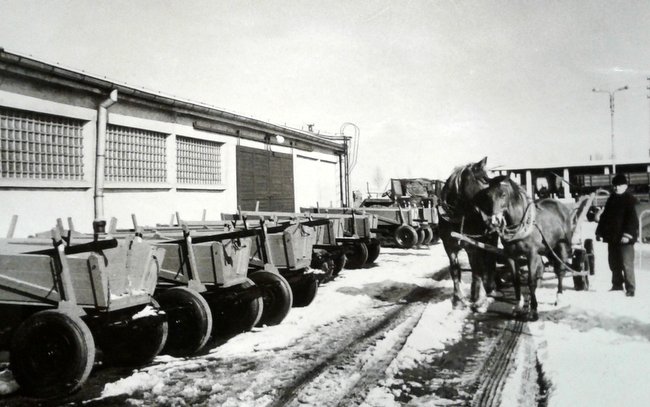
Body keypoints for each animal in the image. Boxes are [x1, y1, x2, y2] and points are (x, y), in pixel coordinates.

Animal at [438, 158, 498, 310]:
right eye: (483, 180)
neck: (457, 217)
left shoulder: (472, 247)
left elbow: (477, 270)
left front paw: (480, 300)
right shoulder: (449, 247)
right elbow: (455, 270)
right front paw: (458, 300)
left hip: (490, 239)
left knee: (490, 261)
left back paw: (490, 287)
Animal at [470, 175, 572, 322]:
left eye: (503, 194)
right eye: (488, 195)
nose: (494, 221)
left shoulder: (531, 254)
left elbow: (531, 281)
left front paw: (533, 311)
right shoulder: (510, 256)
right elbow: (516, 280)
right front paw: (518, 306)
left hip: (561, 246)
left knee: (560, 271)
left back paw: (559, 296)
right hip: (547, 248)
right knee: (543, 267)